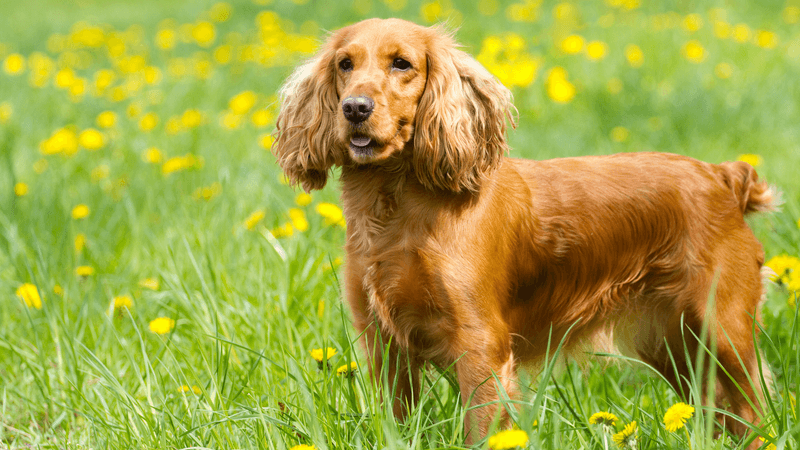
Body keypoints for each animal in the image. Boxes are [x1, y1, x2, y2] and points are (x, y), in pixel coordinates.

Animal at [272, 18, 772, 446]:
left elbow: (482, 428)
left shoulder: (481, 345)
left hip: (722, 327)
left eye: (402, 63)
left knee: (752, 408)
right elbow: (397, 423)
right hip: (673, 343)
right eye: (345, 63)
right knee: (715, 413)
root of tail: (723, 176)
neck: (397, 209)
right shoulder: (382, 342)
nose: (355, 108)